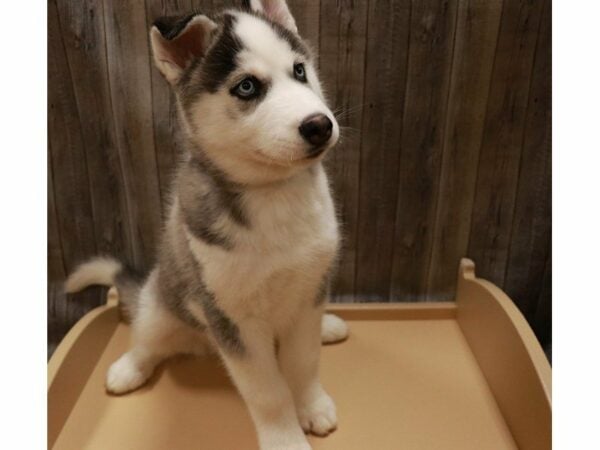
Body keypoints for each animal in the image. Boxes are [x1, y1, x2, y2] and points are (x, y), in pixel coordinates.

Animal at [64, 1, 346, 448]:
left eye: (300, 70)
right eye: (246, 87)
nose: (320, 125)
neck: (271, 194)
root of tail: (200, 344)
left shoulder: (309, 289)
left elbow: (303, 361)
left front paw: (312, 406)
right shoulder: (231, 318)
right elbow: (268, 392)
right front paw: (285, 438)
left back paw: (330, 327)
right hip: (164, 304)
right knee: (147, 337)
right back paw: (129, 368)